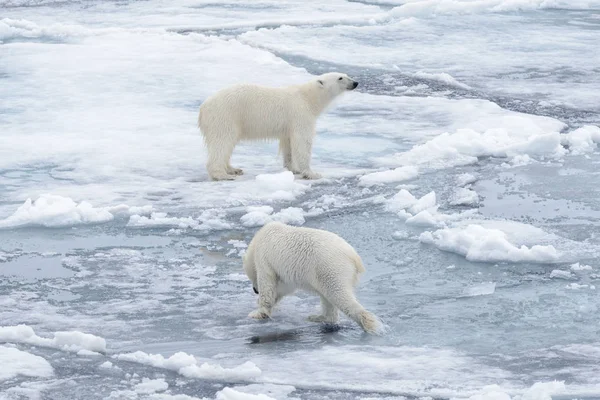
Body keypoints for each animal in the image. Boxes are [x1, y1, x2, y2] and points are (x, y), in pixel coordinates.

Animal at [197, 72, 358, 180]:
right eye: (340, 78)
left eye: (346, 75)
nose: (355, 83)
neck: (308, 98)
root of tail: (203, 108)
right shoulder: (300, 114)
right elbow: (303, 142)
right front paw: (312, 173)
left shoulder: (288, 124)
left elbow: (288, 144)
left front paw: (293, 168)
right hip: (225, 116)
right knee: (222, 142)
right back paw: (222, 174)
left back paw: (233, 169)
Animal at [241, 222, 382, 334]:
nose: (255, 290)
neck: (258, 240)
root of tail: (354, 257)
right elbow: (285, 287)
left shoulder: (264, 258)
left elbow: (267, 283)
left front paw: (258, 312)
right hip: (324, 273)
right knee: (327, 297)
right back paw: (318, 317)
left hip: (330, 268)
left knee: (339, 295)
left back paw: (369, 325)